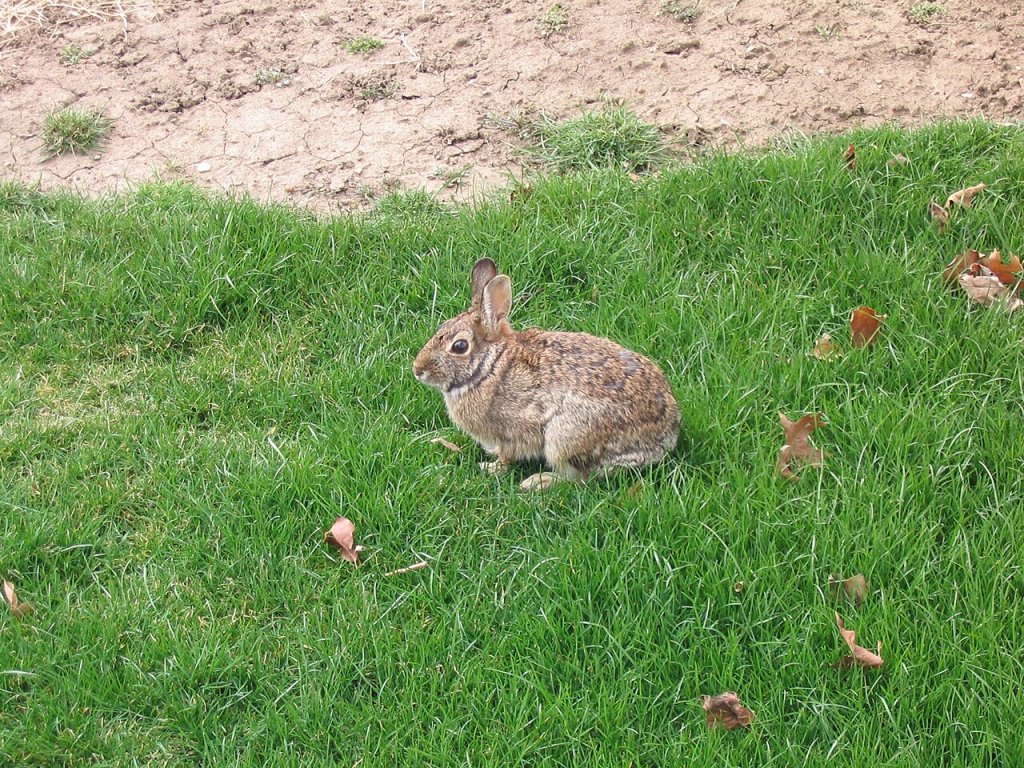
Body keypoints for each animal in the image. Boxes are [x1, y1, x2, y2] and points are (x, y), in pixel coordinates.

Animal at [413, 258, 680, 491]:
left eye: (459, 346)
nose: (418, 370)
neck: (489, 368)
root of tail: (664, 439)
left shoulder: (513, 430)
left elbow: (507, 456)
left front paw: (491, 468)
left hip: (565, 436)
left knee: (580, 477)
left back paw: (539, 482)